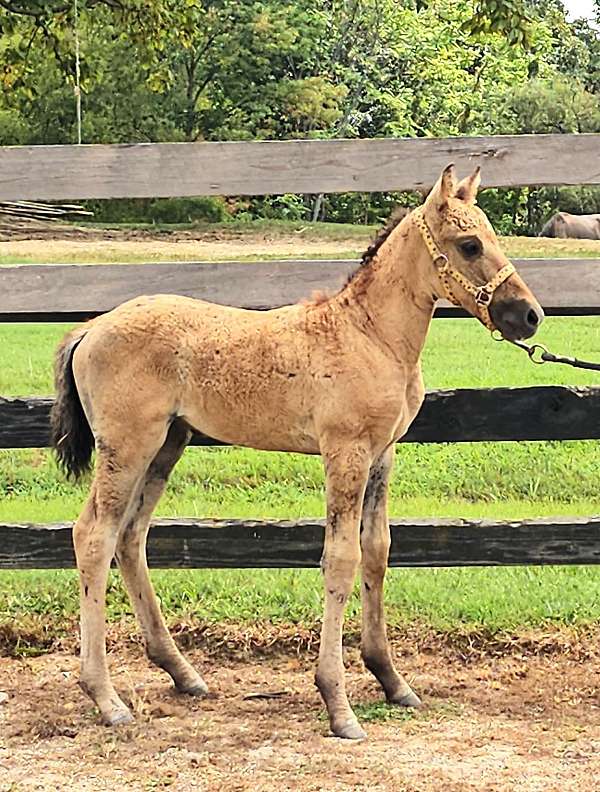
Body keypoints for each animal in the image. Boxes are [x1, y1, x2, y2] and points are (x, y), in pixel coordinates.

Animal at [49, 164, 540, 740]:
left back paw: (182, 673)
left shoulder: (383, 454)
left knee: (130, 537)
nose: (530, 316)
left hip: (167, 444)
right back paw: (106, 699)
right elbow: (341, 559)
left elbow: (377, 550)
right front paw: (339, 705)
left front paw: (392, 681)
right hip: (127, 445)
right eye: (469, 245)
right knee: (94, 536)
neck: (370, 335)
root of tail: (90, 328)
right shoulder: (345, 451)